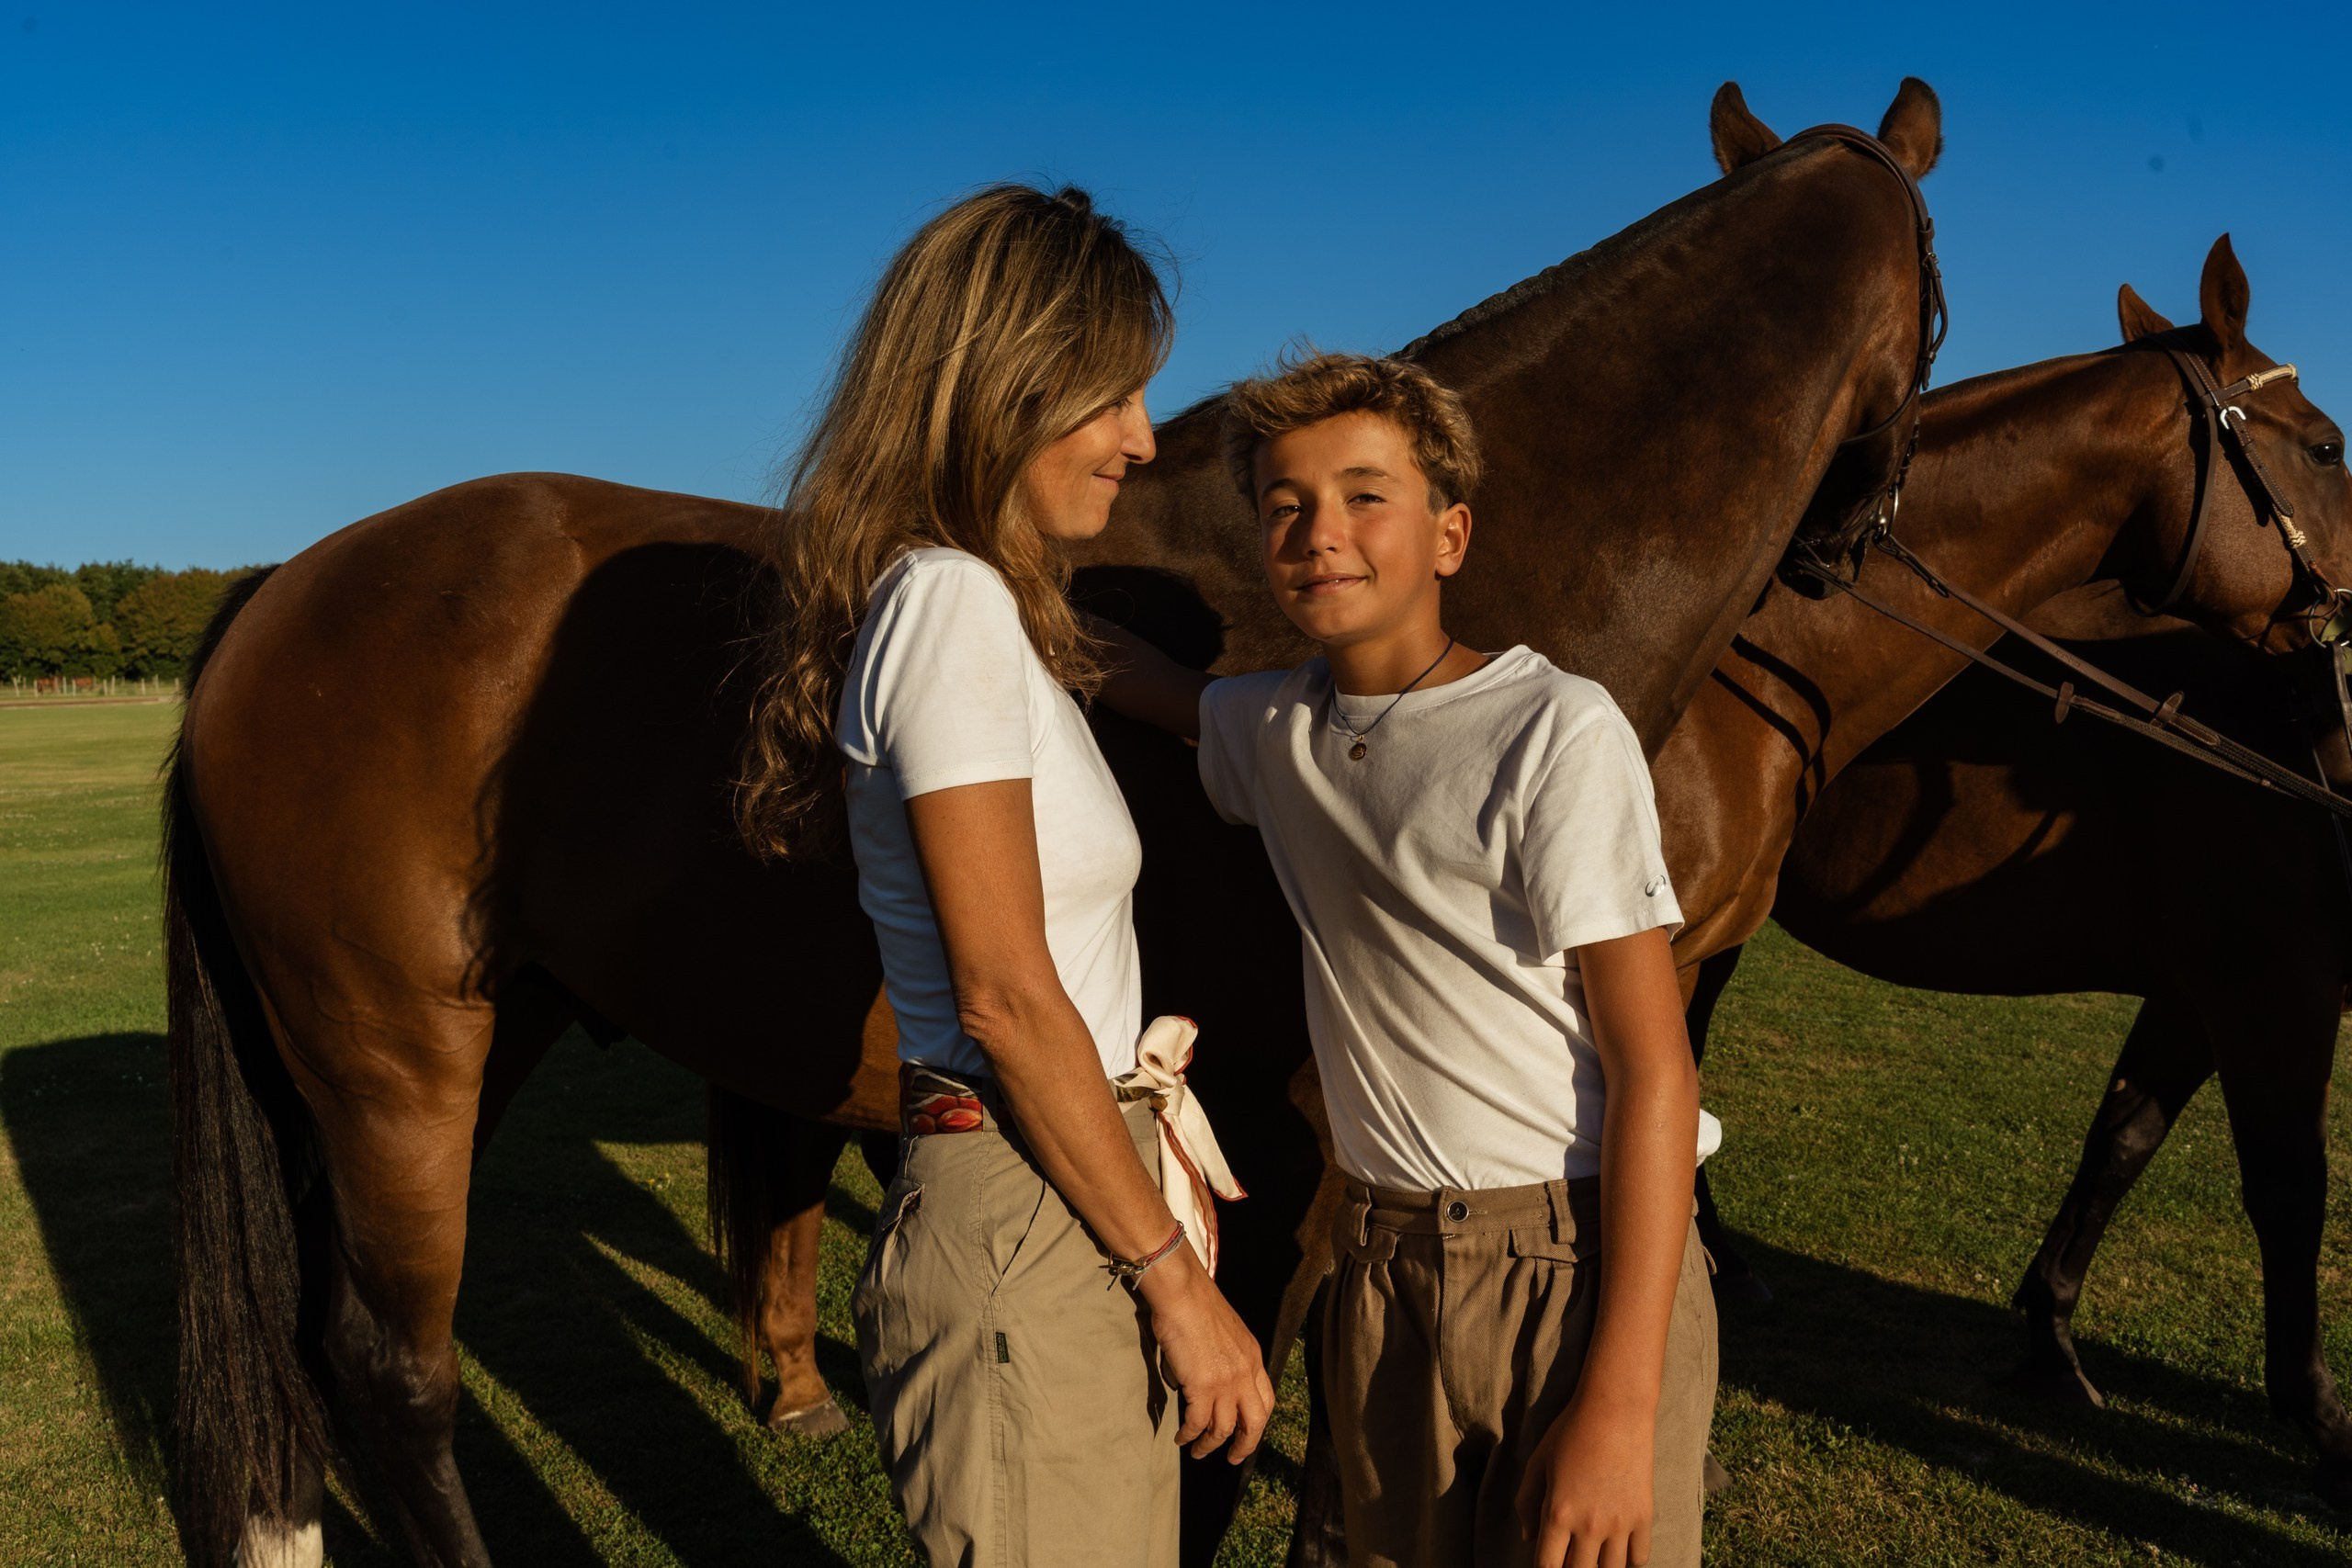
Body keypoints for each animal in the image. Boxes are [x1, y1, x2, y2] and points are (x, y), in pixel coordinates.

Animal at [164, 80, 1949, 1567]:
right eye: (1938, 316)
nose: (1845, 554)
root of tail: (284, 589)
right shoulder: (1273, 1174)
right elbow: (1207, 1459)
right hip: (397, 1068)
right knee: (393, 1367)